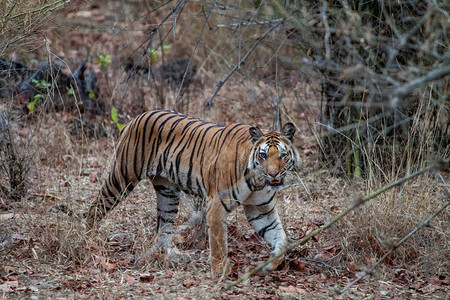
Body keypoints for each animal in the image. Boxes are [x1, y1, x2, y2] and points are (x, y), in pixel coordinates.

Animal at [86, 110, 300, 274]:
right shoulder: (216, 205)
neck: (258, 181)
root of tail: (135, 118)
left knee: (163, 227)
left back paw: (175, 256)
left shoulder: (261, 209)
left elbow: (281, 238)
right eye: (263, 155)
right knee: (96, 207)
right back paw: (88, 238)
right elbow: (219, 243)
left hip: (167, 193)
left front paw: (270, 264)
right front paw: (221, 272)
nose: (273, 174)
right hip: (122, 178)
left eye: (283, 155)